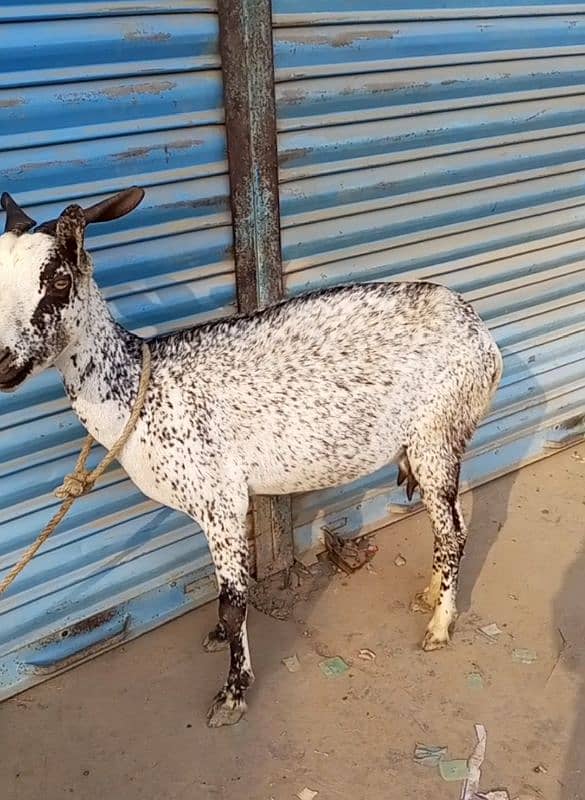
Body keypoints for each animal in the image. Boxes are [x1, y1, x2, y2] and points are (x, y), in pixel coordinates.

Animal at [0, 188, 502, 724]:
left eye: (58, 280)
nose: (2, 363)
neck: (142, 387)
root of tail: (481, 334)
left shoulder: (221, 499)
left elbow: (232, 600)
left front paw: (232, 694)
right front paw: (220, 641)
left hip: (436, 435)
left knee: (451, 531)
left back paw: (440, 625)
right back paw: (430, 594)